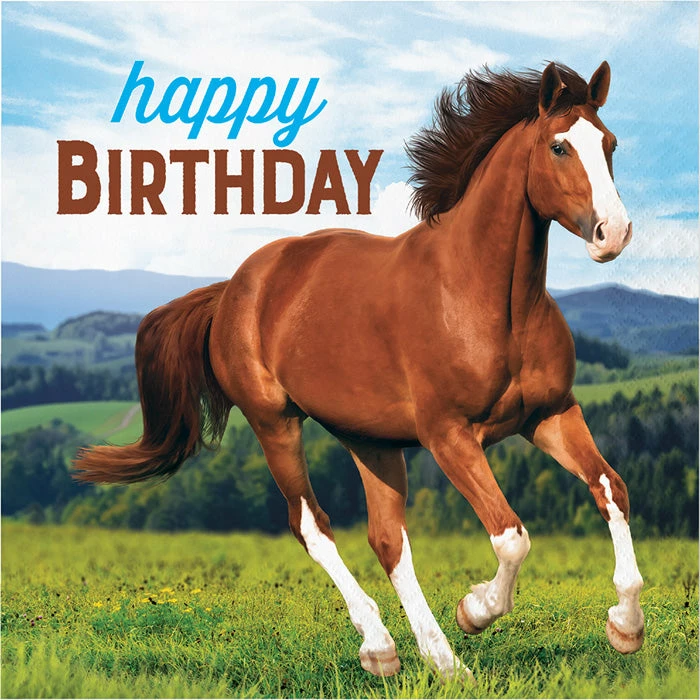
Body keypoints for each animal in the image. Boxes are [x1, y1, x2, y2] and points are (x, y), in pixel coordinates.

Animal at [74, 61, 644, 680]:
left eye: (610, 143)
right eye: (560, 146)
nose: (613, 233)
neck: (483, 297)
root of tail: (233, 290)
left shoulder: (550, 414)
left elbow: (612, 489)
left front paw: (625, 627)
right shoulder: (449, 436)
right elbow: (511, 536)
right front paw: (474, 610)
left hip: (371, 439)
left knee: (387, 540)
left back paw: (439, 662)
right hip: (275, 422)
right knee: (312, 526)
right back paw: (383, 647)